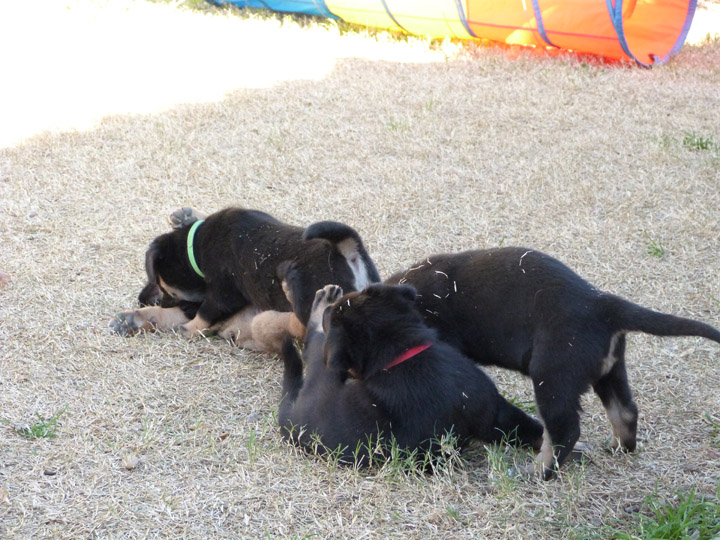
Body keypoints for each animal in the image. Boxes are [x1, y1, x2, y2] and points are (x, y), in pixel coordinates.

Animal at [109, 205, 380, 348]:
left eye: (166, 288)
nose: (142, 298)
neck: (195, 245)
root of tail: (346, 251)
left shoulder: (223, 295)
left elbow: (202, 315)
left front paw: (188, 328)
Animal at [278, 282, 544, 468]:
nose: (329, 312)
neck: (400, 352)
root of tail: (290, 421)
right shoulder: (492, 405)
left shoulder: (492, 408)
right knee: (314, 343)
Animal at [388, 247, 720, 478]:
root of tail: (603, 305)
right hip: (608, 370)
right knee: (625, 411)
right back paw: (619, 448)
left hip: (552, 377)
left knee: (564, 432)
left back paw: (538, 472)